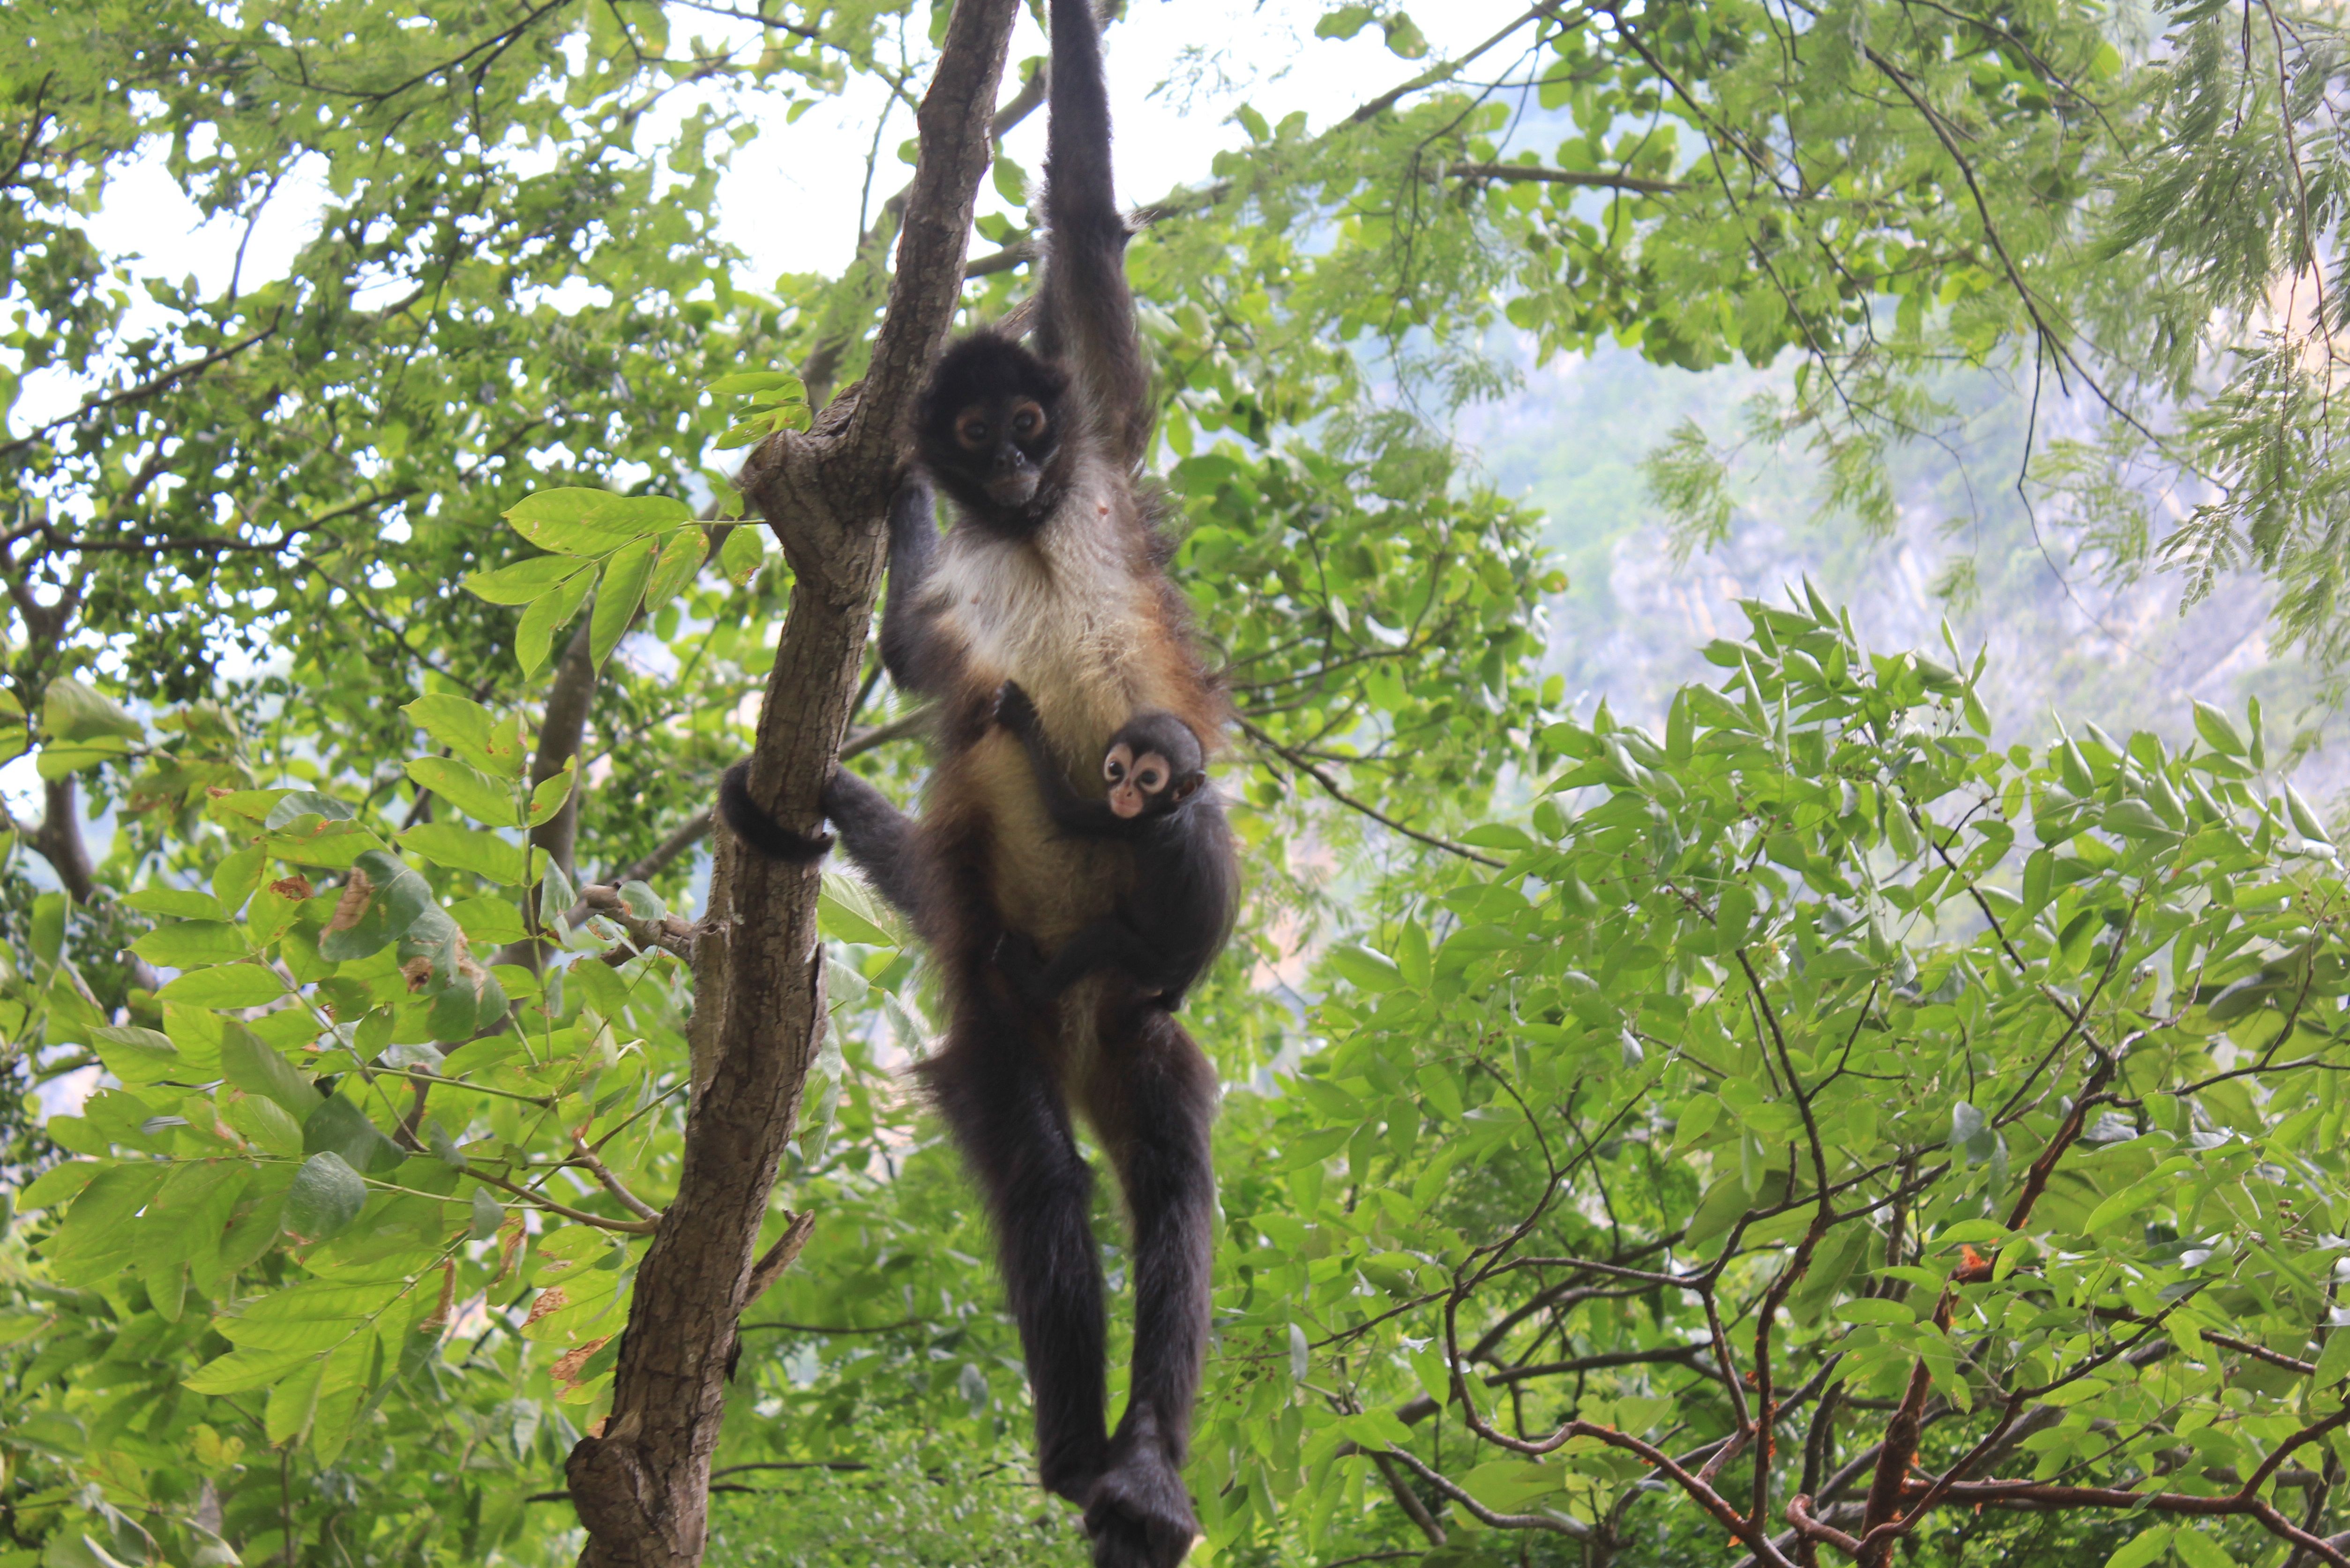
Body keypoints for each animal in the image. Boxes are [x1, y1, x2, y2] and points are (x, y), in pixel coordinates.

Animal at [988, 682, 1236, 1013]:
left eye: (1149, 778)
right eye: (1116, 768)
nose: (1124, 791)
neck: (1181, 803)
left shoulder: (1140, 823)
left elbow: (1066, 811)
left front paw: (1021, 714)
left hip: (1154, 966)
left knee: (1105, 938)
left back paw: (1032, 981)